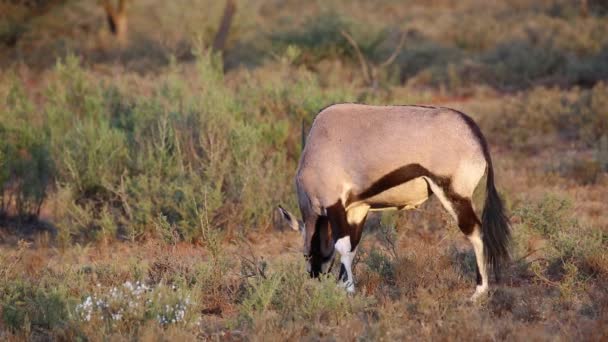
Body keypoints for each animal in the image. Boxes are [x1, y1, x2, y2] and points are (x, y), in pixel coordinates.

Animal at [278, 103, 510, 300]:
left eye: (306, 254)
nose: (314, 276)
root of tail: (472, 130)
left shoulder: (333, 204)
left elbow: (342, 246)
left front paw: (349, 289)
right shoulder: (357, 210)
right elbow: (352, 247)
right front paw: (343, 286)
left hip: (453, 193)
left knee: (476, 232)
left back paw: (479, 291)